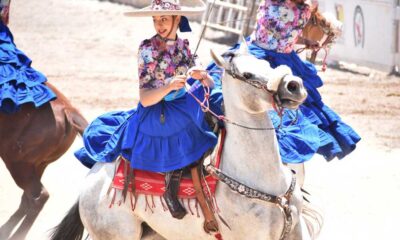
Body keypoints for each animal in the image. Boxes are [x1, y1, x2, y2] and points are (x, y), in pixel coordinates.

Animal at [50, 39, 322, 240]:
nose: (294, 86)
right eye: (246, 74)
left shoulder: (296, 229)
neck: (264, 183)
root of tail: (90, 184)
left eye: (265, 62)